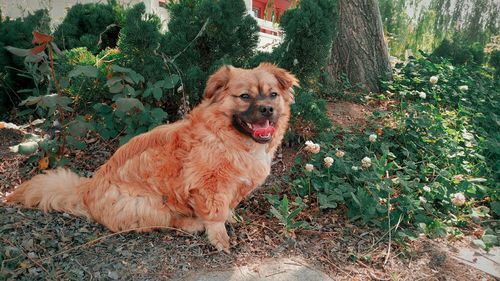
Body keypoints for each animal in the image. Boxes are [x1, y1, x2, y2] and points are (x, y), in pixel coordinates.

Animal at [4, 63, 296, 252]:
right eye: (245, 96)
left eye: (273, 94)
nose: (268, 109)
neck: (227, 137)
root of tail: (86, 189)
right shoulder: (207, 187)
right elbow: (214, 216)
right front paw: (220, 238)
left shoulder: (232, 187)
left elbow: (228, 207)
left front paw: (231, 217)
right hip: (150, 202)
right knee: (166, 222)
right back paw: (191, 224)